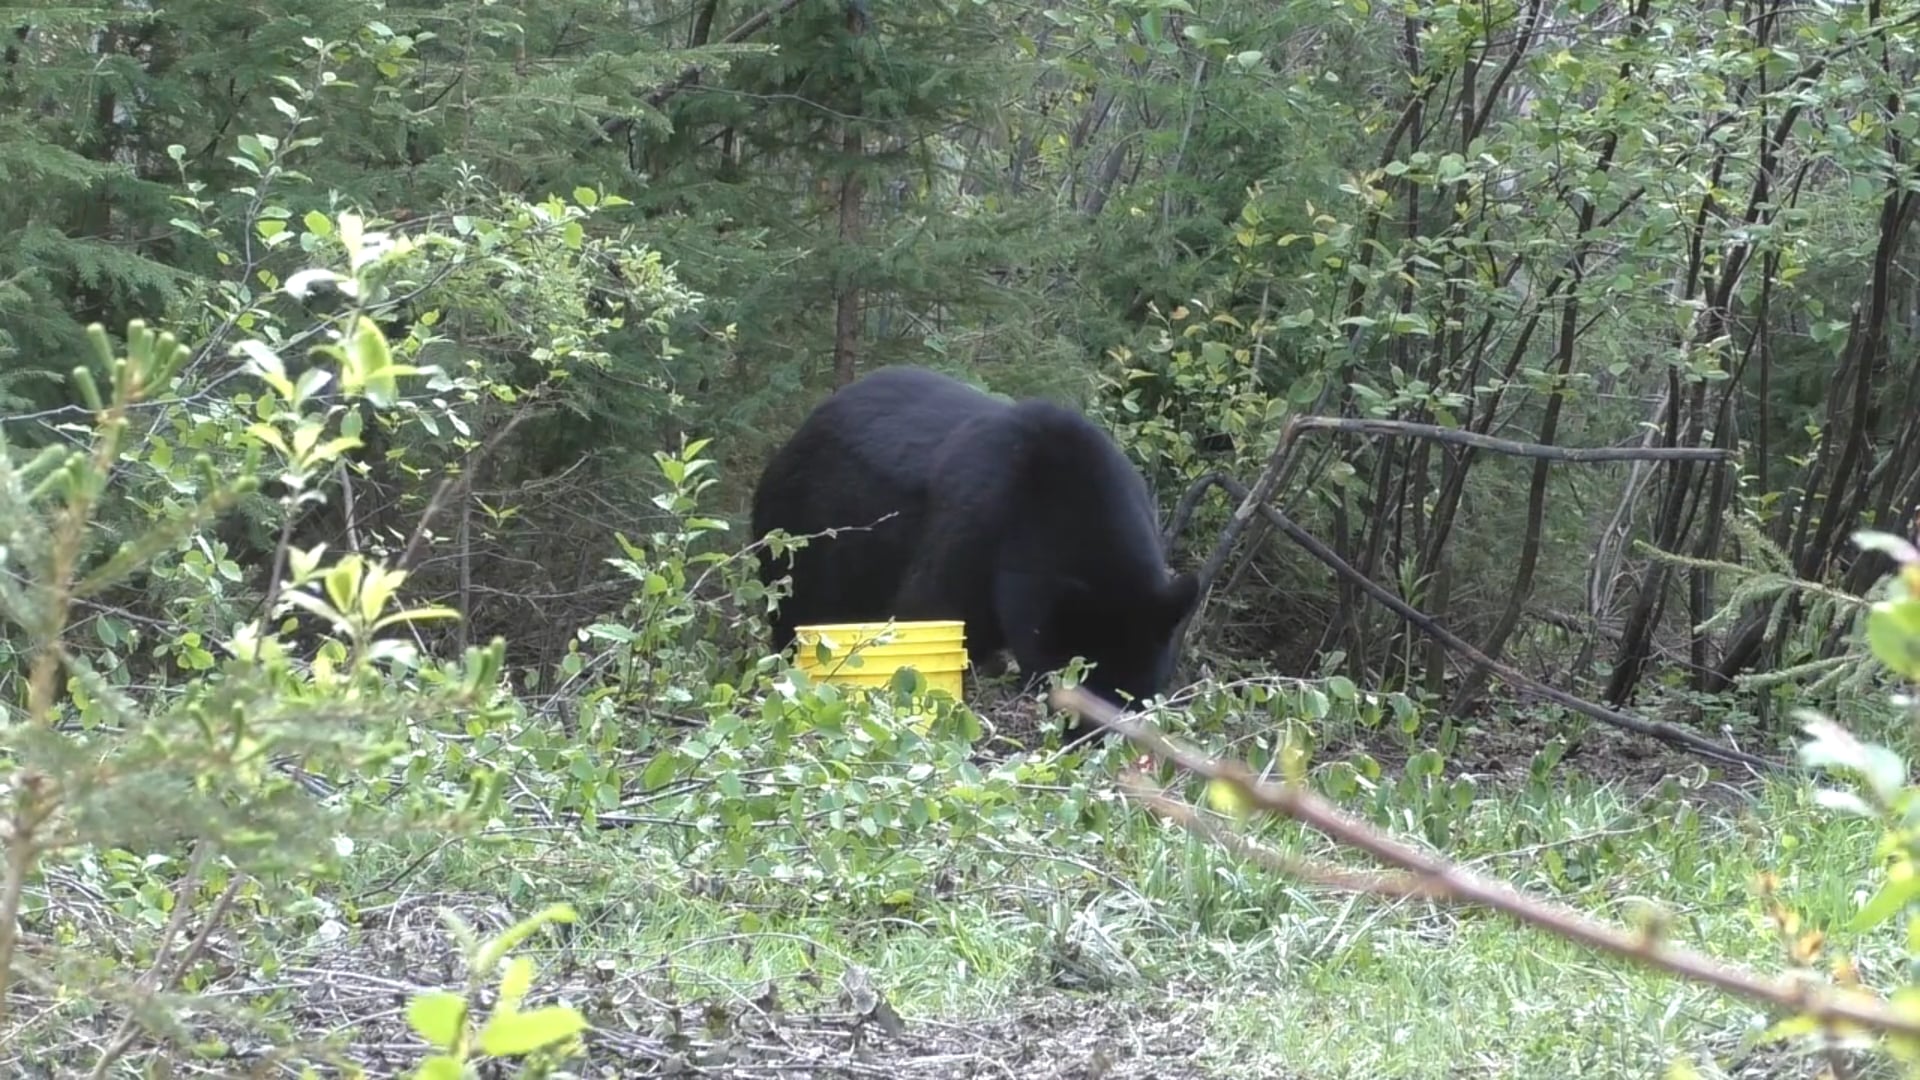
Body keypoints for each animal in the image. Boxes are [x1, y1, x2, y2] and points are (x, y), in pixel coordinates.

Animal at [749, 366, 1200, 740]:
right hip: (797, 535)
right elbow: (926, 613)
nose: (1090, 743)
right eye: (1087, 692)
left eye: (1136, 699)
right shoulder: (971, 533)